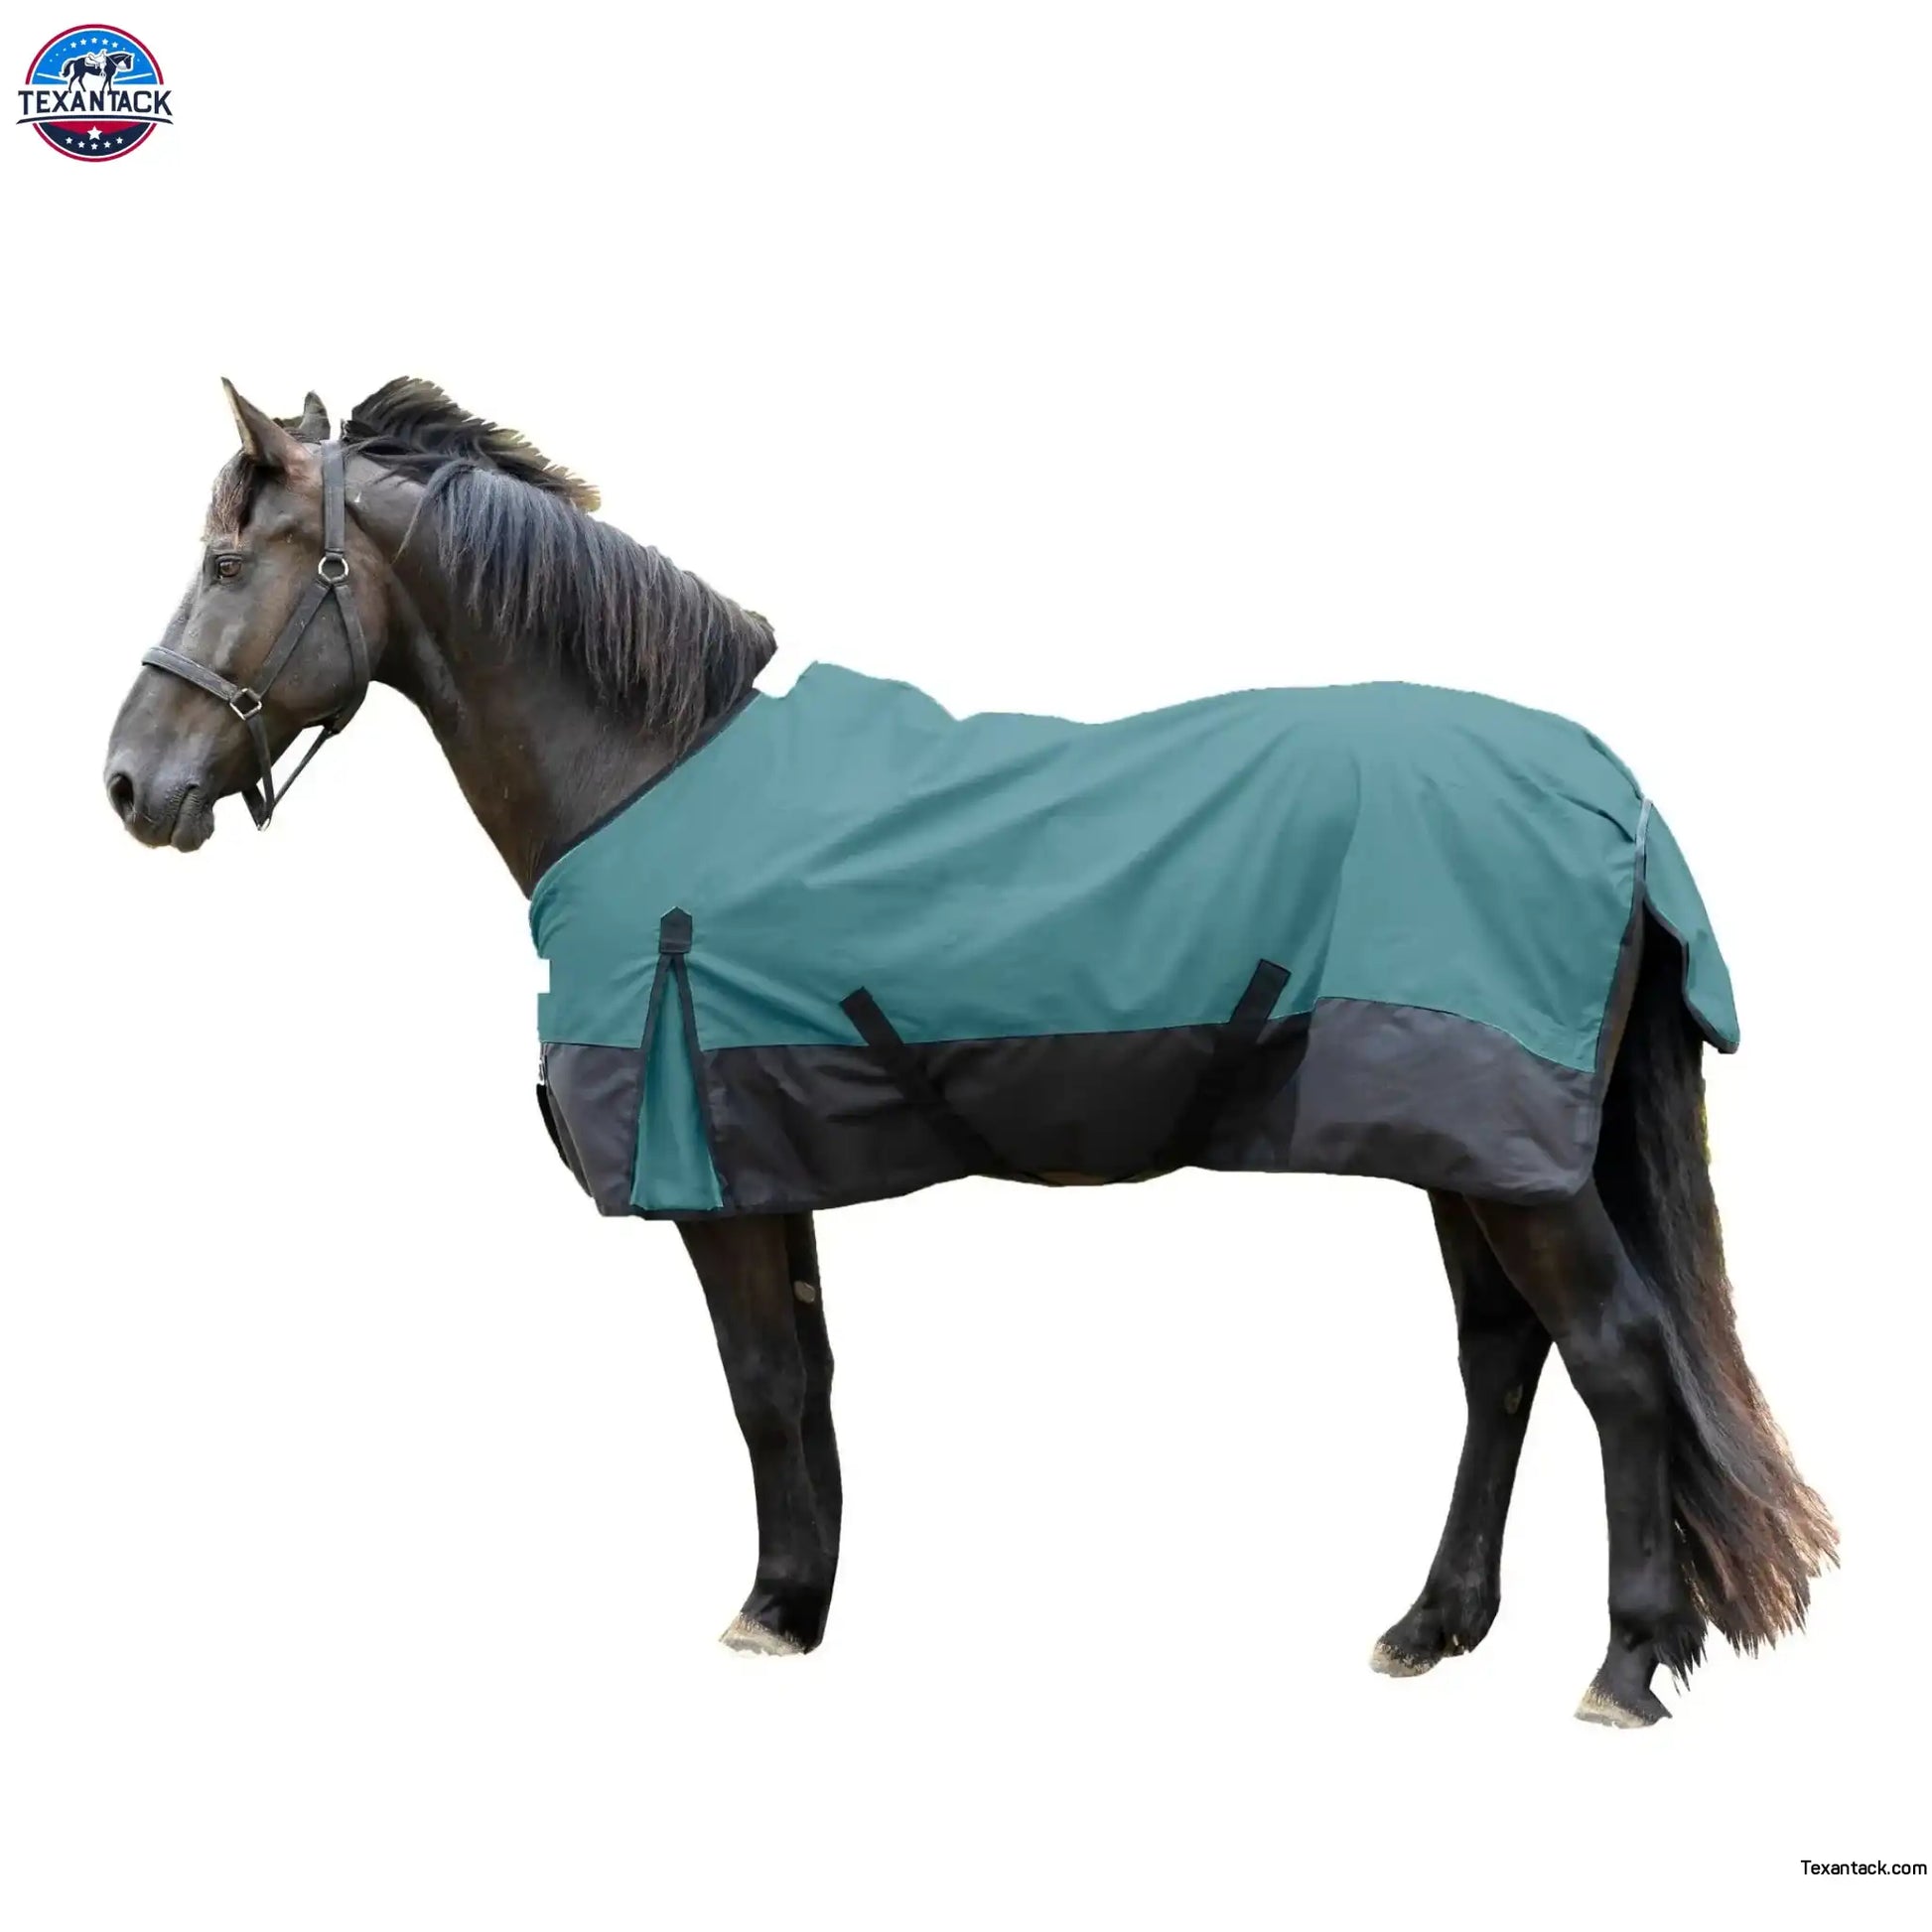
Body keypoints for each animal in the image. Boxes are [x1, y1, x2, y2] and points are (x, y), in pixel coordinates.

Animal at [102, 378, 1836, 1727]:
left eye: (226, 559)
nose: (128, 782)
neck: (649, 775)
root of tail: (1610, 790)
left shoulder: (712, 1169)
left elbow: (759, 1381)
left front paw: (766, 1610)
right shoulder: (763, 1158)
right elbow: (801, 1378)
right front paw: (800, 1598)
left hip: (1512, 1161)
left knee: (1615, 1359)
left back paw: (1622, 1663)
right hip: (1461, 1149)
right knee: (1500, 1360)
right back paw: (1433, 1626)